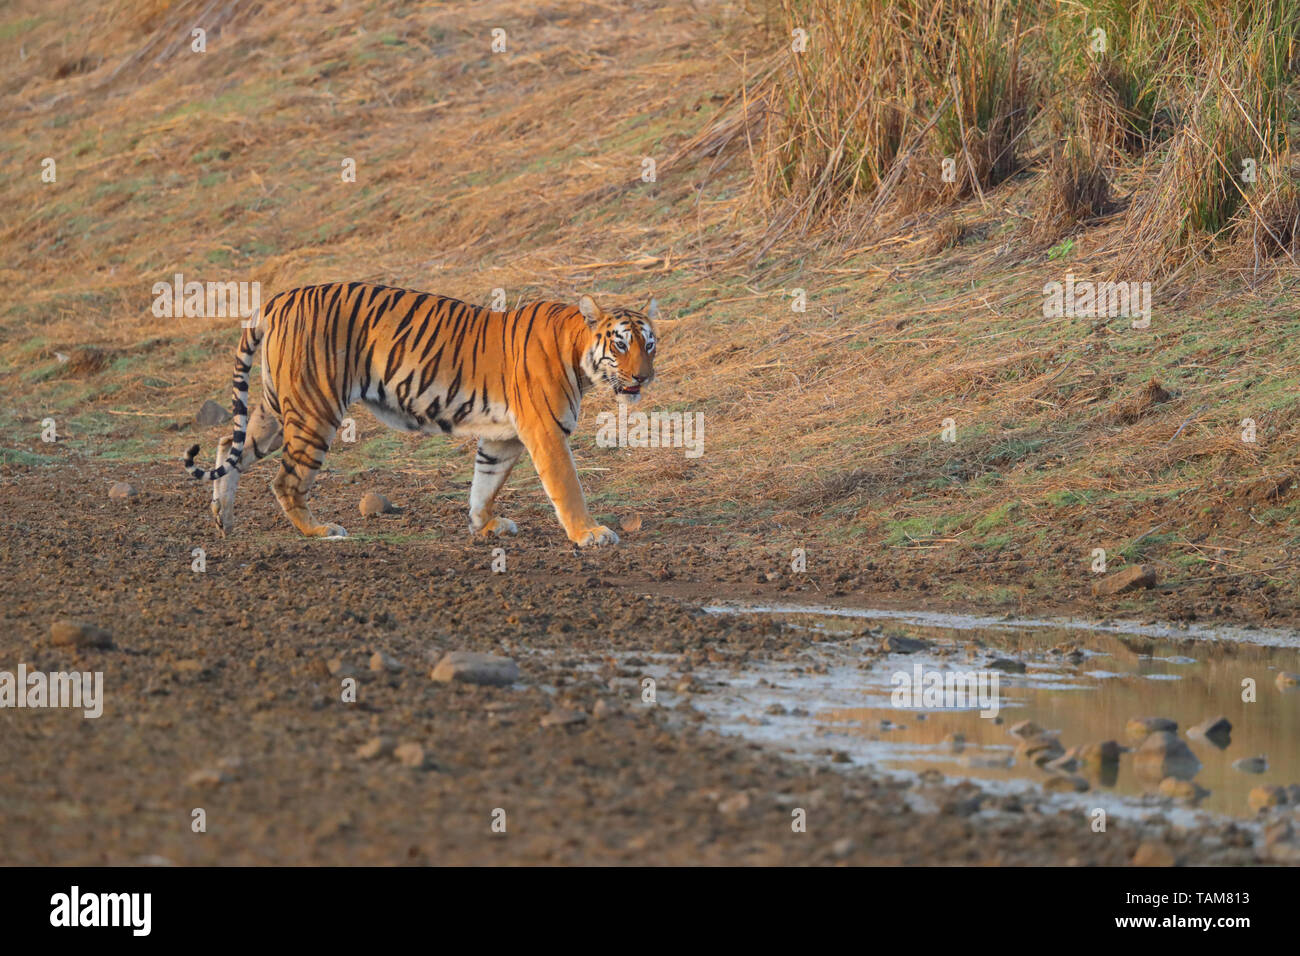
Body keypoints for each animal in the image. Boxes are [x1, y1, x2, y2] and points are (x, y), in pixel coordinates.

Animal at [180, 282, 660, 546]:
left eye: (649, 345)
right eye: (621, 344)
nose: (645, 376)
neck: (577, 353)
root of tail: (278, 299)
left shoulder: (501, 437)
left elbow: (484, 483)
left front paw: (484, 525)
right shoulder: (545, 431)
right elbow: (568, 487)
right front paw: (590, 534)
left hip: (280, 406)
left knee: (227, 445)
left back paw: (223, 518)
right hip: (315, 409)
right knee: (286, 481)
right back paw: (320, 531)